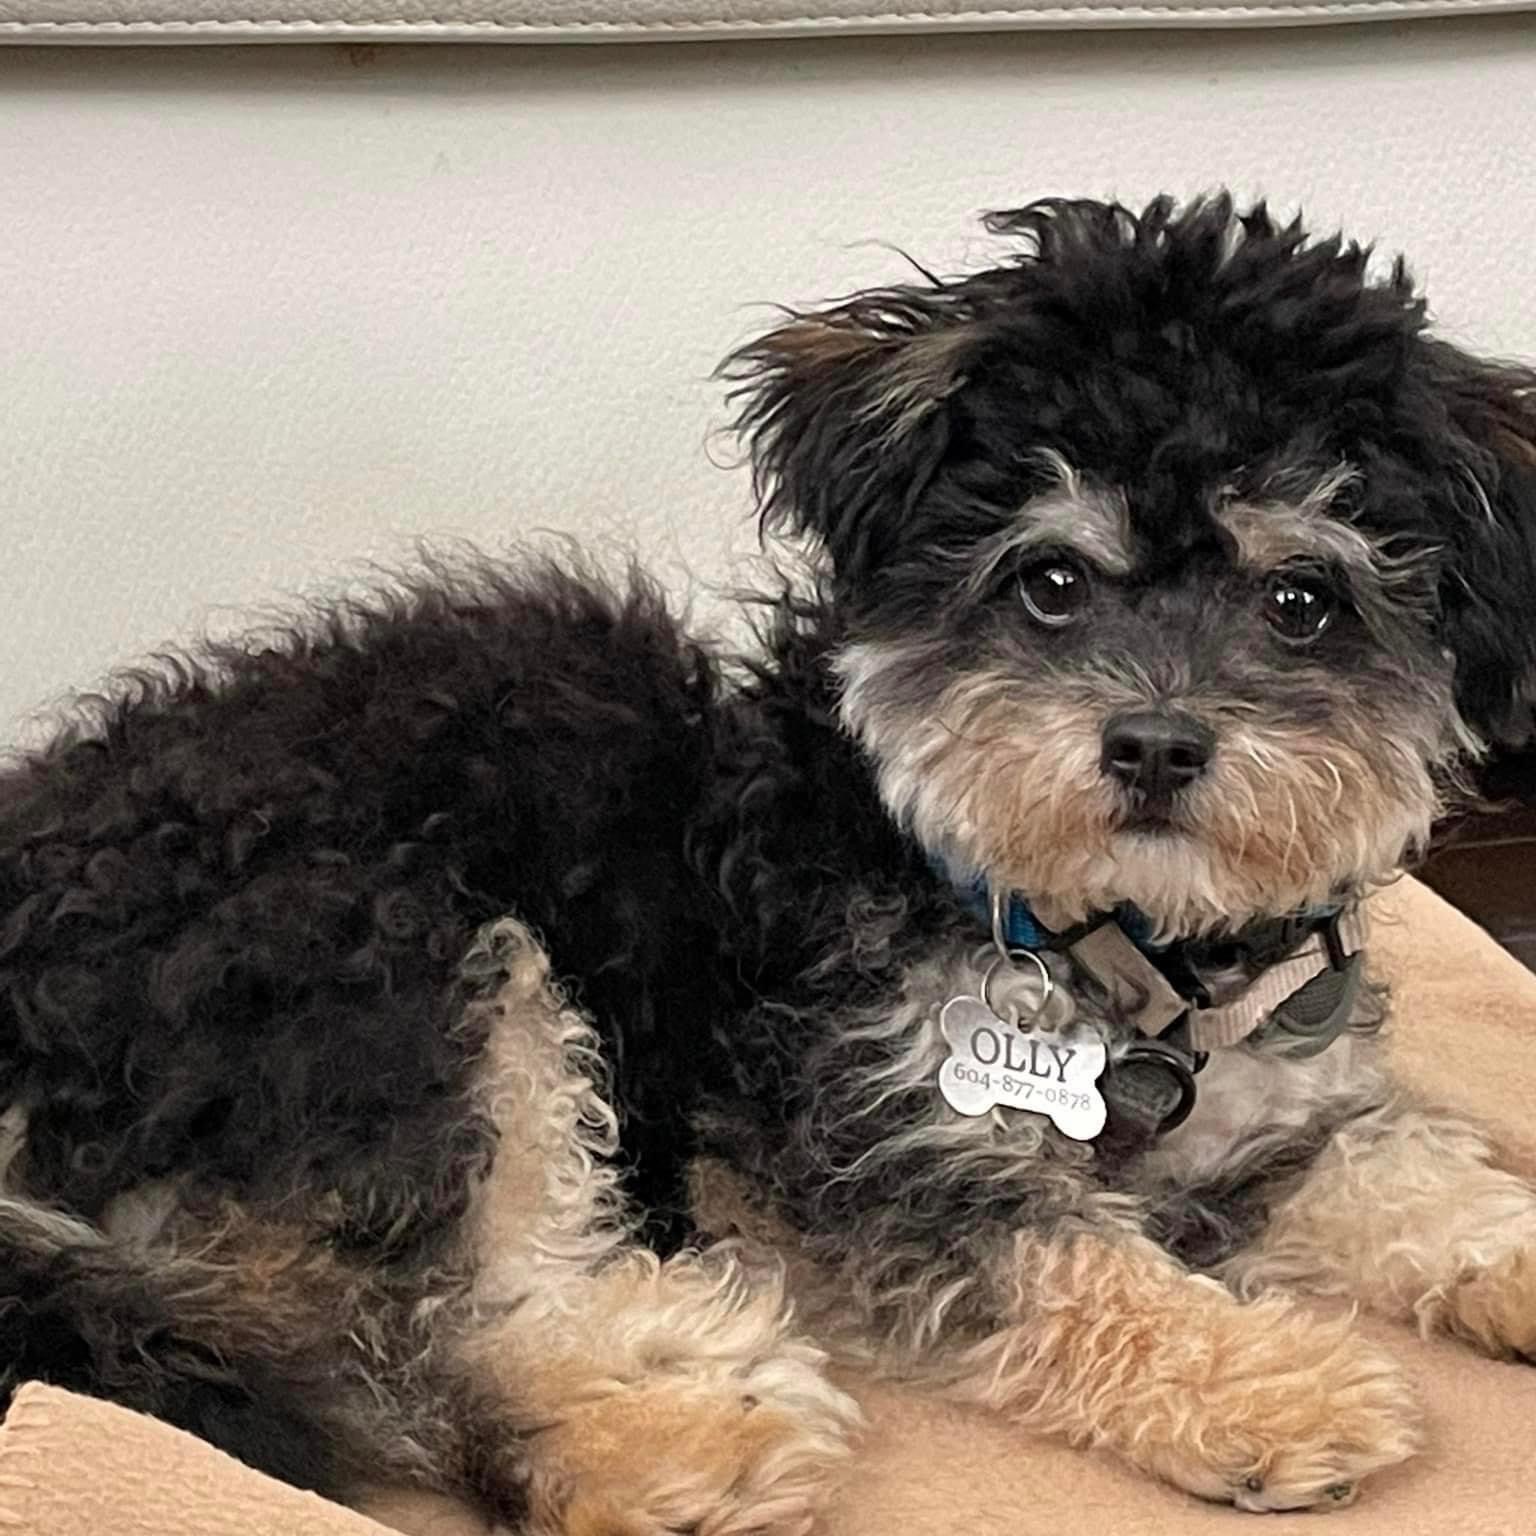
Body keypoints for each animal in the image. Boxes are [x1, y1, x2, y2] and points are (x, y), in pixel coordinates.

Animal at [3, 194, 1536, 1530]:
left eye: (1302, 601)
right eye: (1049, 580)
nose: (1156, 745)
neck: (1118, 945)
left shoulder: (1282, 1121)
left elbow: (1405, 1165)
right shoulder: (870, 1138)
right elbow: (1070, 1259)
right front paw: (1264, 1387)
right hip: (407, 967)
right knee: (431, 1344)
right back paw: (688, 1427)